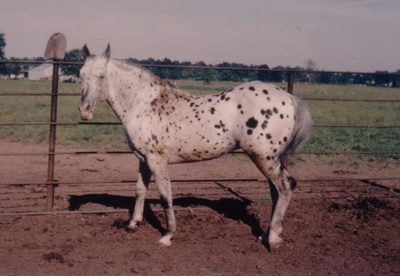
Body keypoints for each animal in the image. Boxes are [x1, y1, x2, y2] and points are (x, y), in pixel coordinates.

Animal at [78, 44, 312, 249]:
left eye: (101, 76)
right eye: (80, 75)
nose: (84, 111)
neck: (144, 105)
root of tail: (289, 98)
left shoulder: (157, 160)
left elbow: (165, 196)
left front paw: (168, 235)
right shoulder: (143, 159)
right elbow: (140, 190)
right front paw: (133, 224)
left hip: (263, 157)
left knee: (285, 186)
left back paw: (272, 239)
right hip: (268, 159)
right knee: (276, 191)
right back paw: (266, 234)